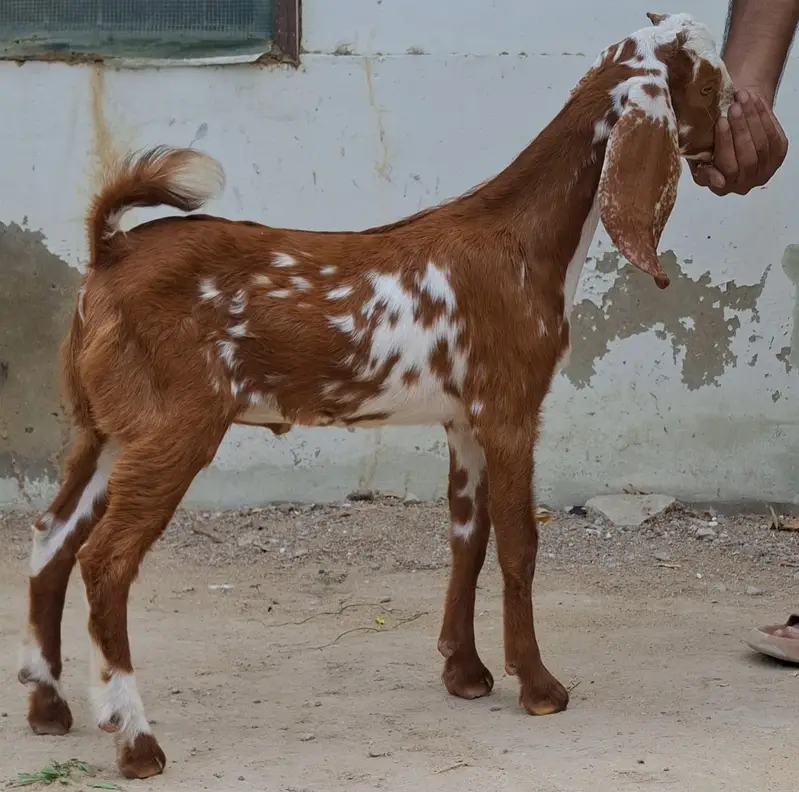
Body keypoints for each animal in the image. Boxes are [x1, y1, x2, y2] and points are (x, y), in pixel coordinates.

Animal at [18, 12, 732, 779]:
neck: (522, 238)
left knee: (52, 535)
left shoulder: (463, 421)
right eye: (710, 82)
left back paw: (48, 705)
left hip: (106, 425)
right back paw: (134, 739)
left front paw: (465, 672)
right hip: (172, 427)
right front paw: (539, 687)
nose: (749, 125)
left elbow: (467, 535)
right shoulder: (510, 409)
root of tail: (110, 252)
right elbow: (520, 543)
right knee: (106, 560)